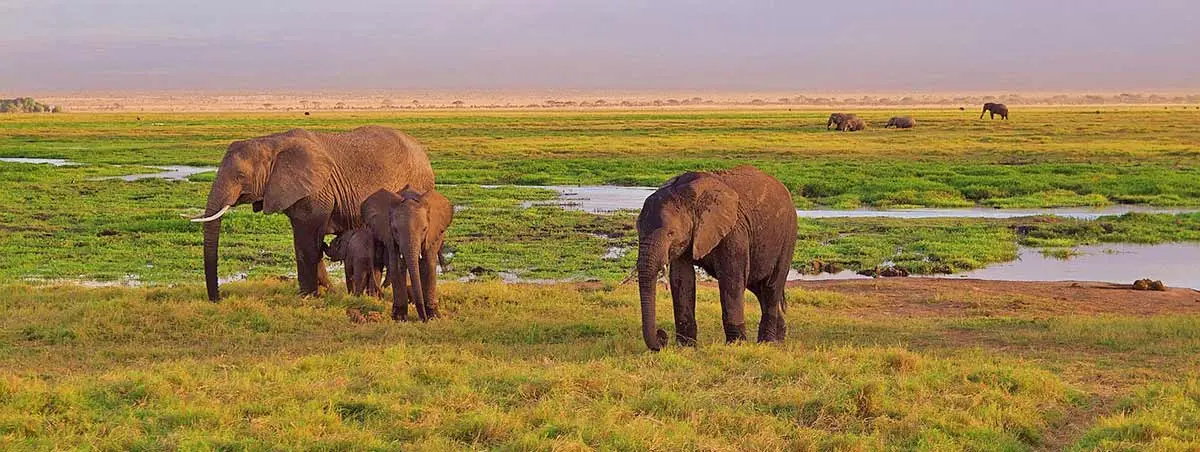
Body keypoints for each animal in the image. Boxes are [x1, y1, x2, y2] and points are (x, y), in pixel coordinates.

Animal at [187, 125, 432, 300]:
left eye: (240, 176)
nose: (217, 299)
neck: (271, 142)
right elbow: (305, 242)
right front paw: (326, 292)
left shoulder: (316, 192)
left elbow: (307, 240)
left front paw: (307, 297)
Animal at [360, 185, 453, 321]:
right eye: (395, 230)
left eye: (424, 229)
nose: (423, 319)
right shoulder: (390, 236)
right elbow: (398, 266)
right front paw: (399, 318)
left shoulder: (432, 234)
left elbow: (428, 266)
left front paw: (434, 317)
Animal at [638, 165, 796, 352]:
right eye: (638, 229)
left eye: (671, 234)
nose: (662, 336)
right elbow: (682, 279)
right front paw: (686, 348)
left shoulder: (734, 230)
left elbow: (731, 279)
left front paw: (736, 345)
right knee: (758, 288)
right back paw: (779, 340)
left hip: (787, 235)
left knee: (771, 287)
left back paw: (768, 343)